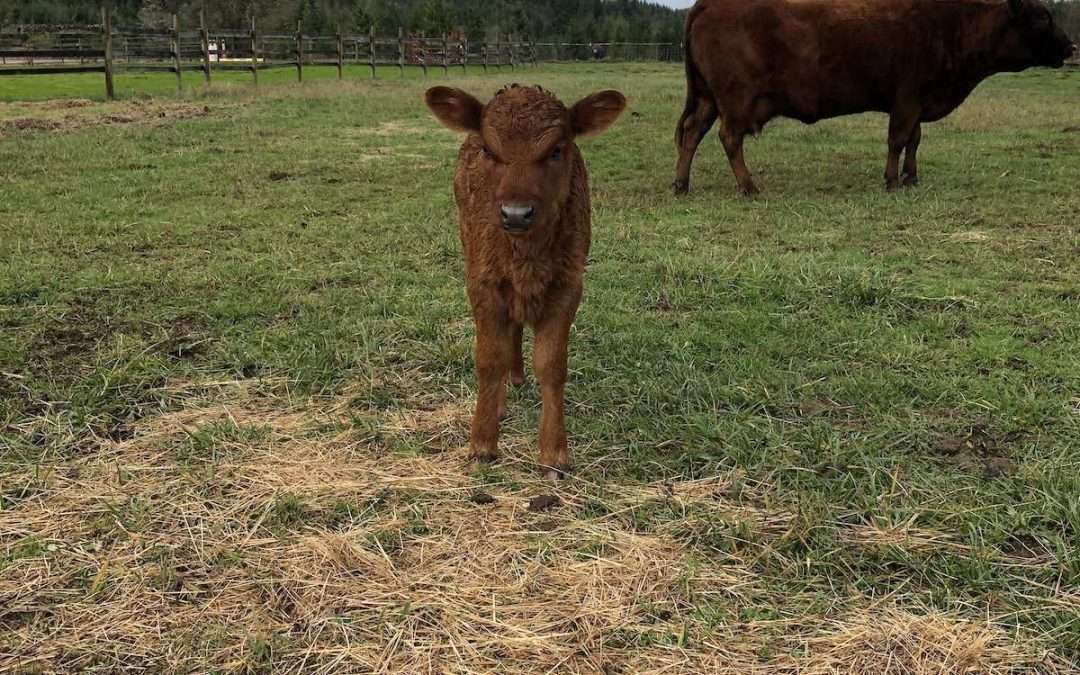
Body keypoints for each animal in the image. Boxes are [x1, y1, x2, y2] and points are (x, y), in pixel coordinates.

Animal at [424, 84, 626, 477]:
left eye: (556, 150)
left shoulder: (568, 284)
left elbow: (552, 364)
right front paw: (482, 444)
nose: (516, 214)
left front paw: (554, 454)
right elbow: (490, 358)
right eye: (489, 150)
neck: (526, 257)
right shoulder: (482, 282)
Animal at [673, 0, 1077, 195]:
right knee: (729, 138)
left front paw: (912, 177)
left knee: (691, 133)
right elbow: (898, 139)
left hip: (708, 100)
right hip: (734, 101)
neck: (954, 23)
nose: (1071, 46)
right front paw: (892, 180)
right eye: (1042, 18)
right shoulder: (907, 100)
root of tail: (707, 3)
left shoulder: (916, 104)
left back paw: (681, 185)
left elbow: (914, 140)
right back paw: (749, 186)